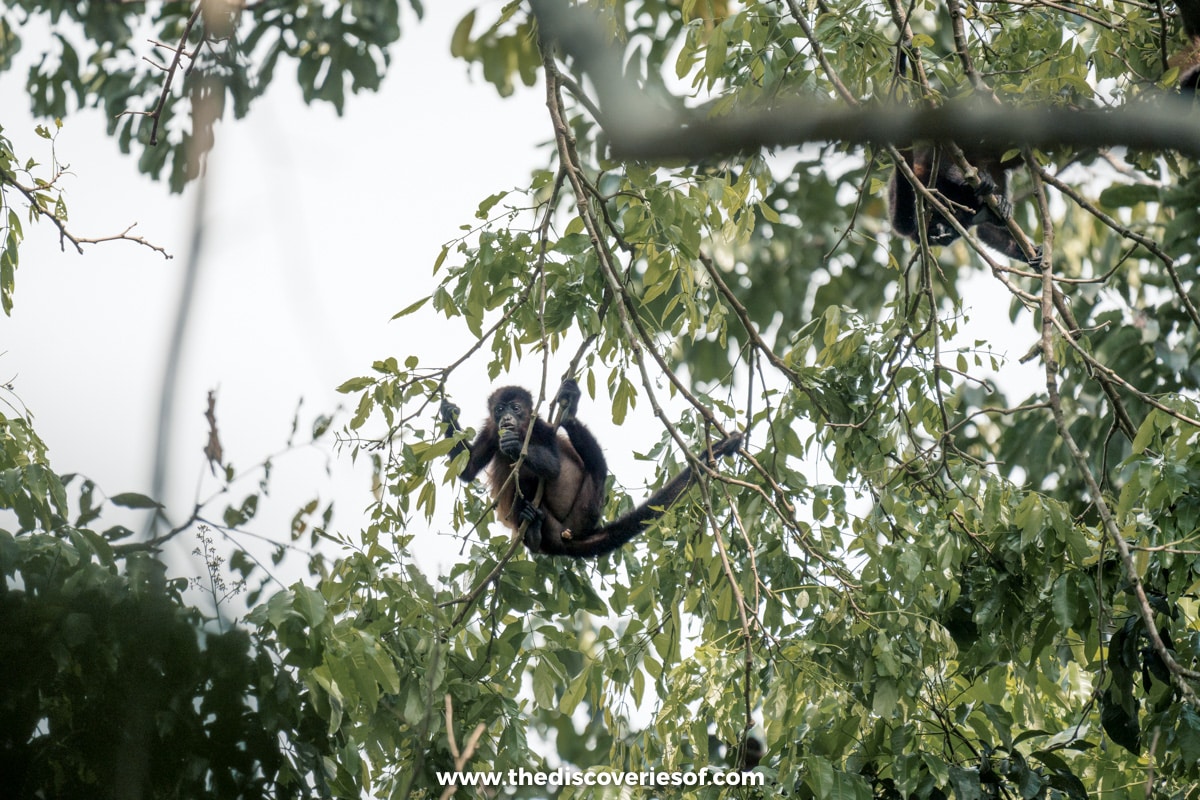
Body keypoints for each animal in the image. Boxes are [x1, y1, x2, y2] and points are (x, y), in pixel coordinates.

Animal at [439, 379, 741, 558]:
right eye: (499, 409)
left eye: (516, 407)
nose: (507, 419)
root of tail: (569, 536)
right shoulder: (492, 432)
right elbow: (467, 469)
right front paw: (448, 414)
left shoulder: (540, 428)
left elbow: (552, 467)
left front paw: (514, 445)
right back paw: (533, 530)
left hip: (587, 507)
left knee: (596, 466)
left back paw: (569, 414)